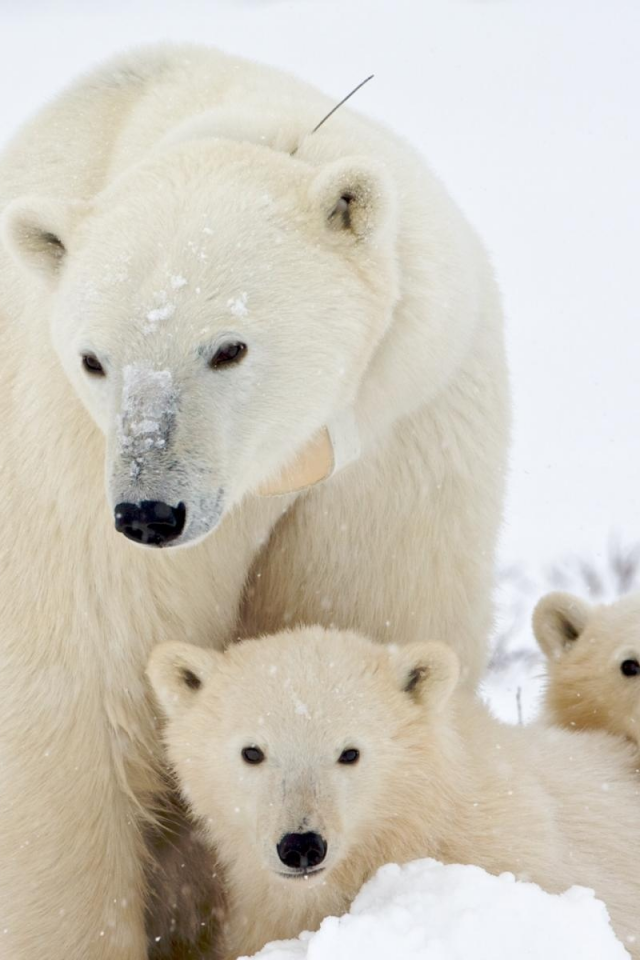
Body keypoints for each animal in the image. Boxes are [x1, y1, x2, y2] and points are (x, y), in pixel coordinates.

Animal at [1, 43, 510, 960]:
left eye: (228, 347)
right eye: (94, 359)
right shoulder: (67, 465)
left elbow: (364, 619)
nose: (150, 513)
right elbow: (74, 707)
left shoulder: (397, 442)